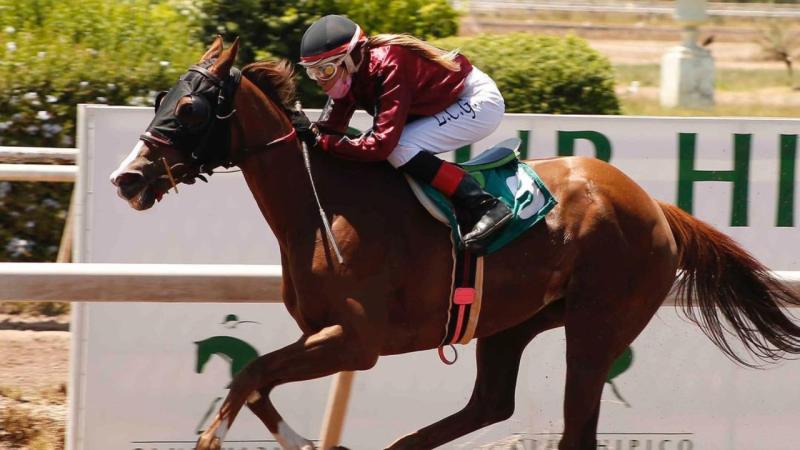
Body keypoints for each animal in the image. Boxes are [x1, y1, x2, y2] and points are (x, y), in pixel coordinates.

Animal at [110, 37, 800, 450]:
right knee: (490, 404)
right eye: (161, 98)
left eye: (192, 109)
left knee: (572, 427)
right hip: (510, 322)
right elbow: (254, 383)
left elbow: (250, 372)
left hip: (599, 323)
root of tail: (655, 205)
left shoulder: (355, 342)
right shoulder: (321, 335)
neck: (320, 206)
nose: (128, 178)